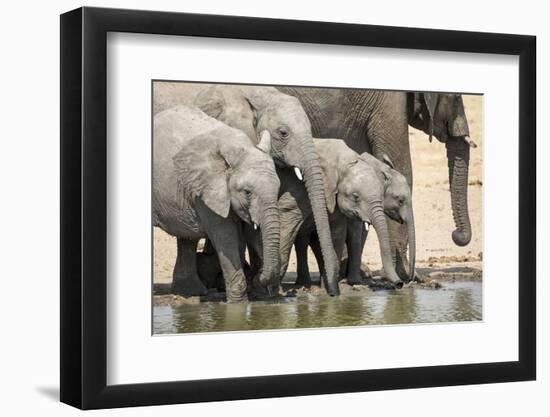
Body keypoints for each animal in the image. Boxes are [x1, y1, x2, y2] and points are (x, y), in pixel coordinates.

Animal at [155, 105, 284, 300]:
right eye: (247, 192)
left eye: (278, 190)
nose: (260, 278)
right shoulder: (206, 190)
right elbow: (225, 236)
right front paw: (238, 303)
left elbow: (250, 235)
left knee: (186, 238)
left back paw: (189, 293)